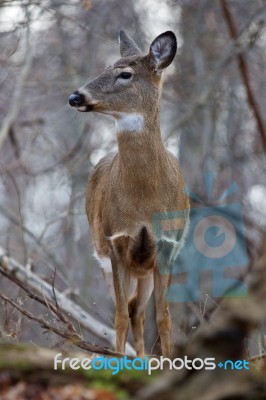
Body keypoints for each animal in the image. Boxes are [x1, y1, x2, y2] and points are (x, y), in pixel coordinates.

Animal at [68, 29, 189, 358]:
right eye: (107, 66)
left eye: (125, 73)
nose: (75, 96)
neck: (145, 202)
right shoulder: (116, 242)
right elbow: (120, 316)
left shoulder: (167, 246)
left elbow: (164, 318)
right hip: (107, 258)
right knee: (131, 310)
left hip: (144, 269)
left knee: (140, 311)